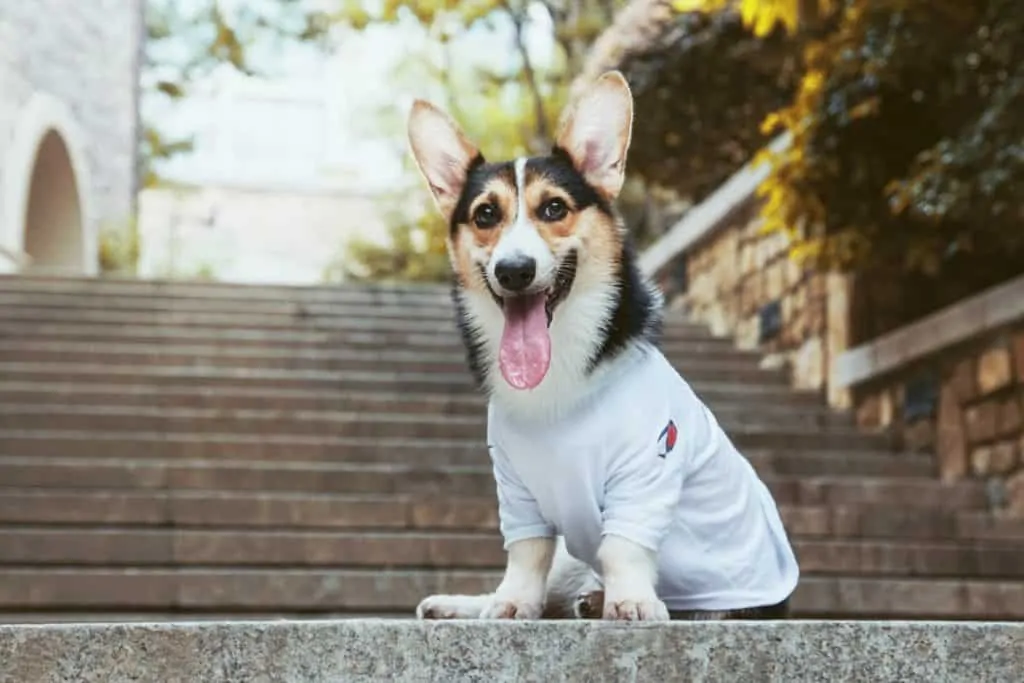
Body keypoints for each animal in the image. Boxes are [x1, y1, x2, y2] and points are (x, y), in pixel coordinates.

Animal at [403, 70, 794, 626]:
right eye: (485, 215)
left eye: (554, 208)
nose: (514, 270)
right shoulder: (516, 490)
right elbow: (526, 554)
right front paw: (510, 603)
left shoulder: (646, 473)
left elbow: (623, 546)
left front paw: (633, 601)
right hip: (570, 556)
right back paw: (470, 605)